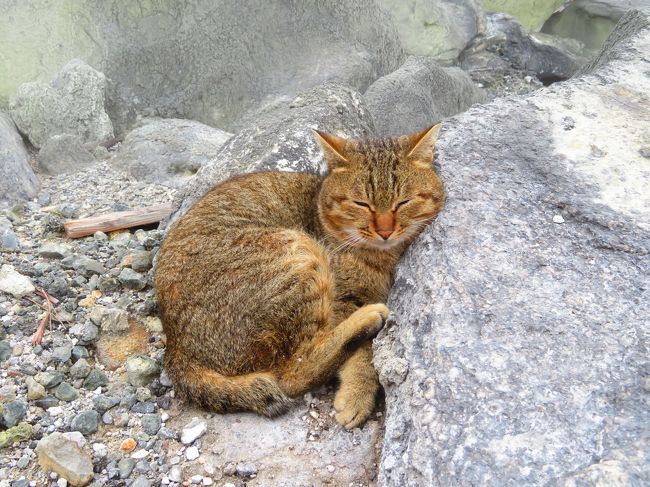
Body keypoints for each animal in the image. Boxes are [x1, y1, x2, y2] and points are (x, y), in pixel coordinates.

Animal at [154, 124, 442, 428]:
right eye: (361, 203)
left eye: (403, 202)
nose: (385, 230)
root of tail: (176, 347)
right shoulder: (342, 299)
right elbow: (361, 355)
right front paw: (356, 394)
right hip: (296, 252)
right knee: (292, 373)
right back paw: (365, 319)